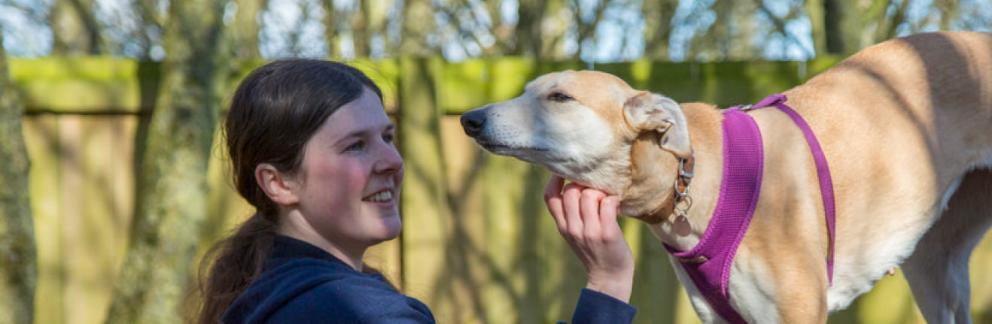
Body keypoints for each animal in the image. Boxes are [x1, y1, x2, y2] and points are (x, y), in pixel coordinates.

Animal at [464, 31, 992, 324]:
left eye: (560, 97)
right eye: (529, 89)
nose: (470, 118)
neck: (697, 176)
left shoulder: (799, 313)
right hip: (935, 269)